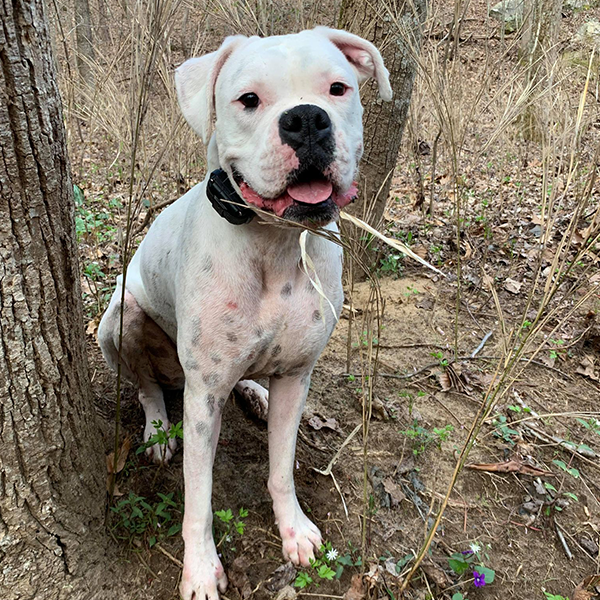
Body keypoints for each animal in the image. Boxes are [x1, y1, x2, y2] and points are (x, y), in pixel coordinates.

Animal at [99, 27, 390, 600]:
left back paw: (254, 391)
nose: (307, 119)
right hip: (119, 319)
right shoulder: (203, 399)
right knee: (145, 385)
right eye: (248, 99)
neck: (274, 245)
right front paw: (199, 569)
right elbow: (199, 498)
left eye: (338, 88)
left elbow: (282, 468)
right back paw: (157, 426)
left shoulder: (297, 376)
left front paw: (293, 529)